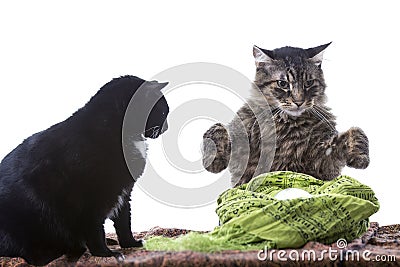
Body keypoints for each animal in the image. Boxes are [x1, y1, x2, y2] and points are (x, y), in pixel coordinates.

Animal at [0, 75, 167, 266]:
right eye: (163, 112)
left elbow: (124, 222)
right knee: (30, 255)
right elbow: (95, 230)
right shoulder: (90, 200)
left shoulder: (123, 193)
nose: (167, 126)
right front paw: (106, 254)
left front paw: (130, 244)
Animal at [203, 43, 368, 187]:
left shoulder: (321, 162)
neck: (287, 123)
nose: (299, 102)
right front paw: (214, 162)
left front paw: (361, 158)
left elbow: (356, 132)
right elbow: (217, 129)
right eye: (282, 84)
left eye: (308, 83)